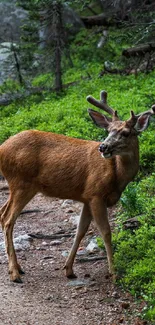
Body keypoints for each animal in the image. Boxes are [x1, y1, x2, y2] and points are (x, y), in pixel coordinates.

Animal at [0, 89, 154, 280]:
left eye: (126, 133)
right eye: (108, 130)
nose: (103, 147)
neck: (117, 175)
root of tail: (2, 148)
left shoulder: (87, 198)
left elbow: (80, 231)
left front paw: (69, 269)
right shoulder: (96, 194)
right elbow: (106, 232)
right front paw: (113, 272)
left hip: (17, 186)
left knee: (2, 213)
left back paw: (18, 268)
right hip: (22, 183)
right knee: (8, 220)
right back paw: (15, 273)